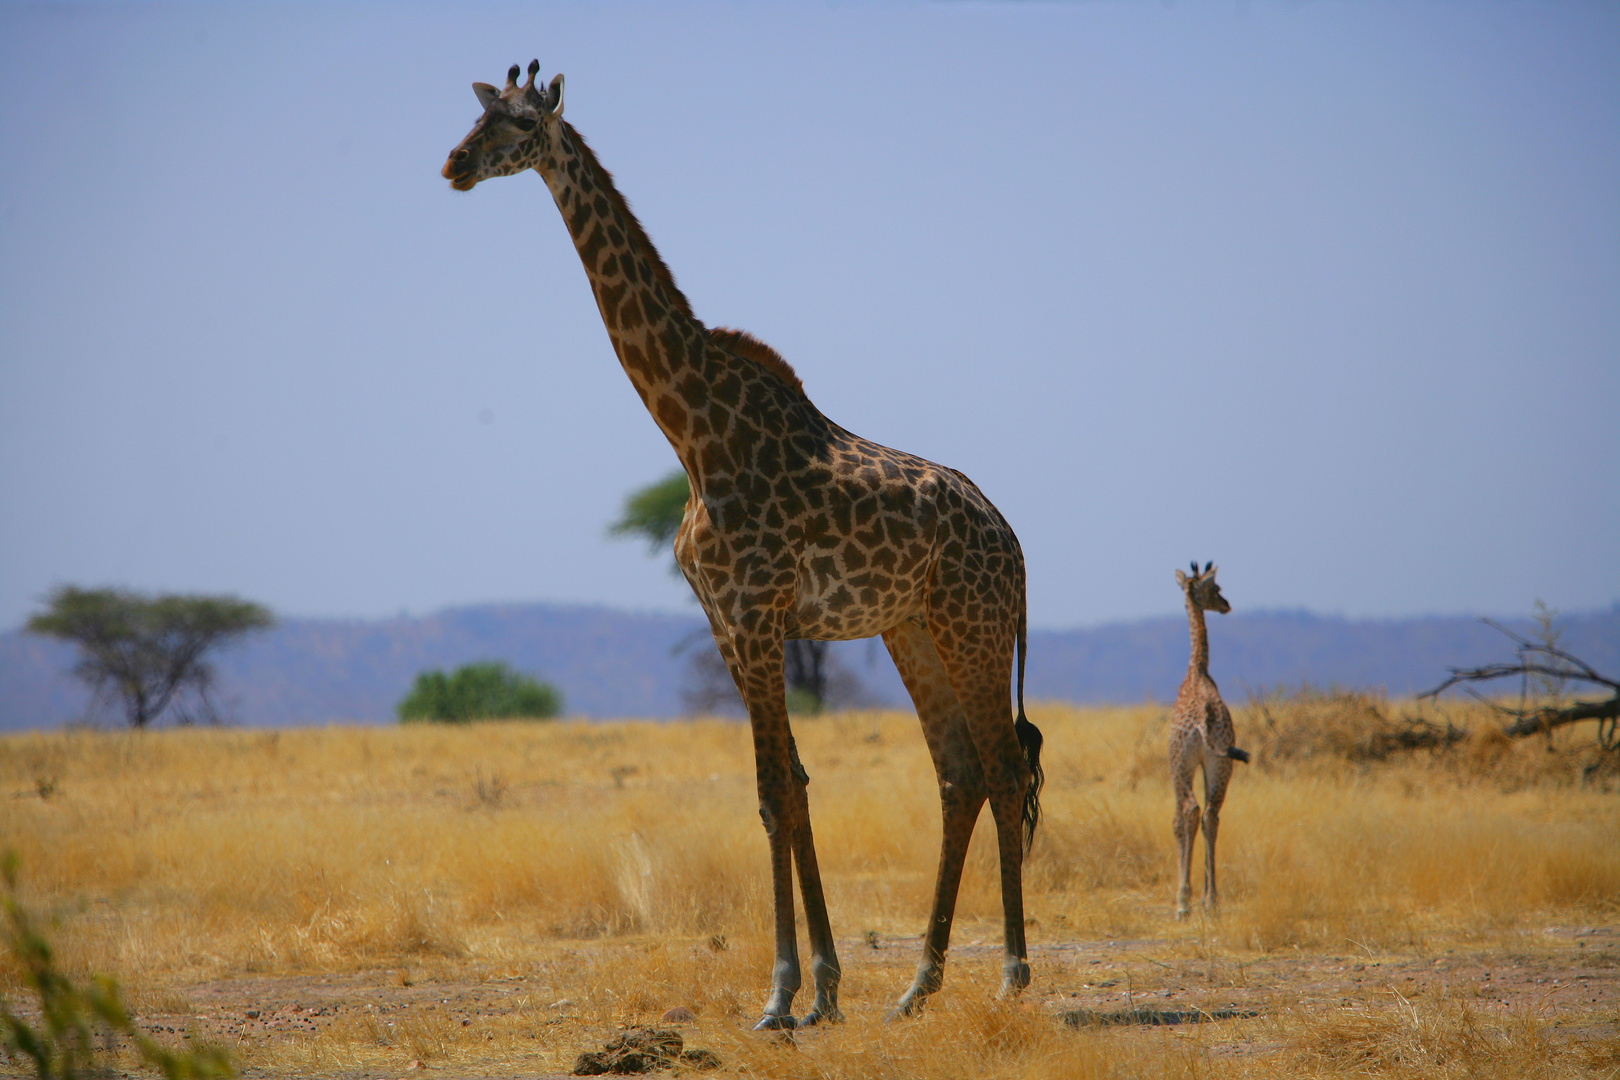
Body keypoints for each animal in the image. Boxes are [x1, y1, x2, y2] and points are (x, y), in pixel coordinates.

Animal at [443, 61, 1043, 1029]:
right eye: (476, 116)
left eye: (522, 125)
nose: (454, 165)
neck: (693, 435)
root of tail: (1014, 541)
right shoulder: (728, 622)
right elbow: (784, 788)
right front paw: (822, 990)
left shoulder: (758, 615)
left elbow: (773, 791)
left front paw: (783, 995)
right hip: (910, 628)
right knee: (958, 775)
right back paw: (916, 986)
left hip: (971, 625)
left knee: (1002, 766)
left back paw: (1013, 976)